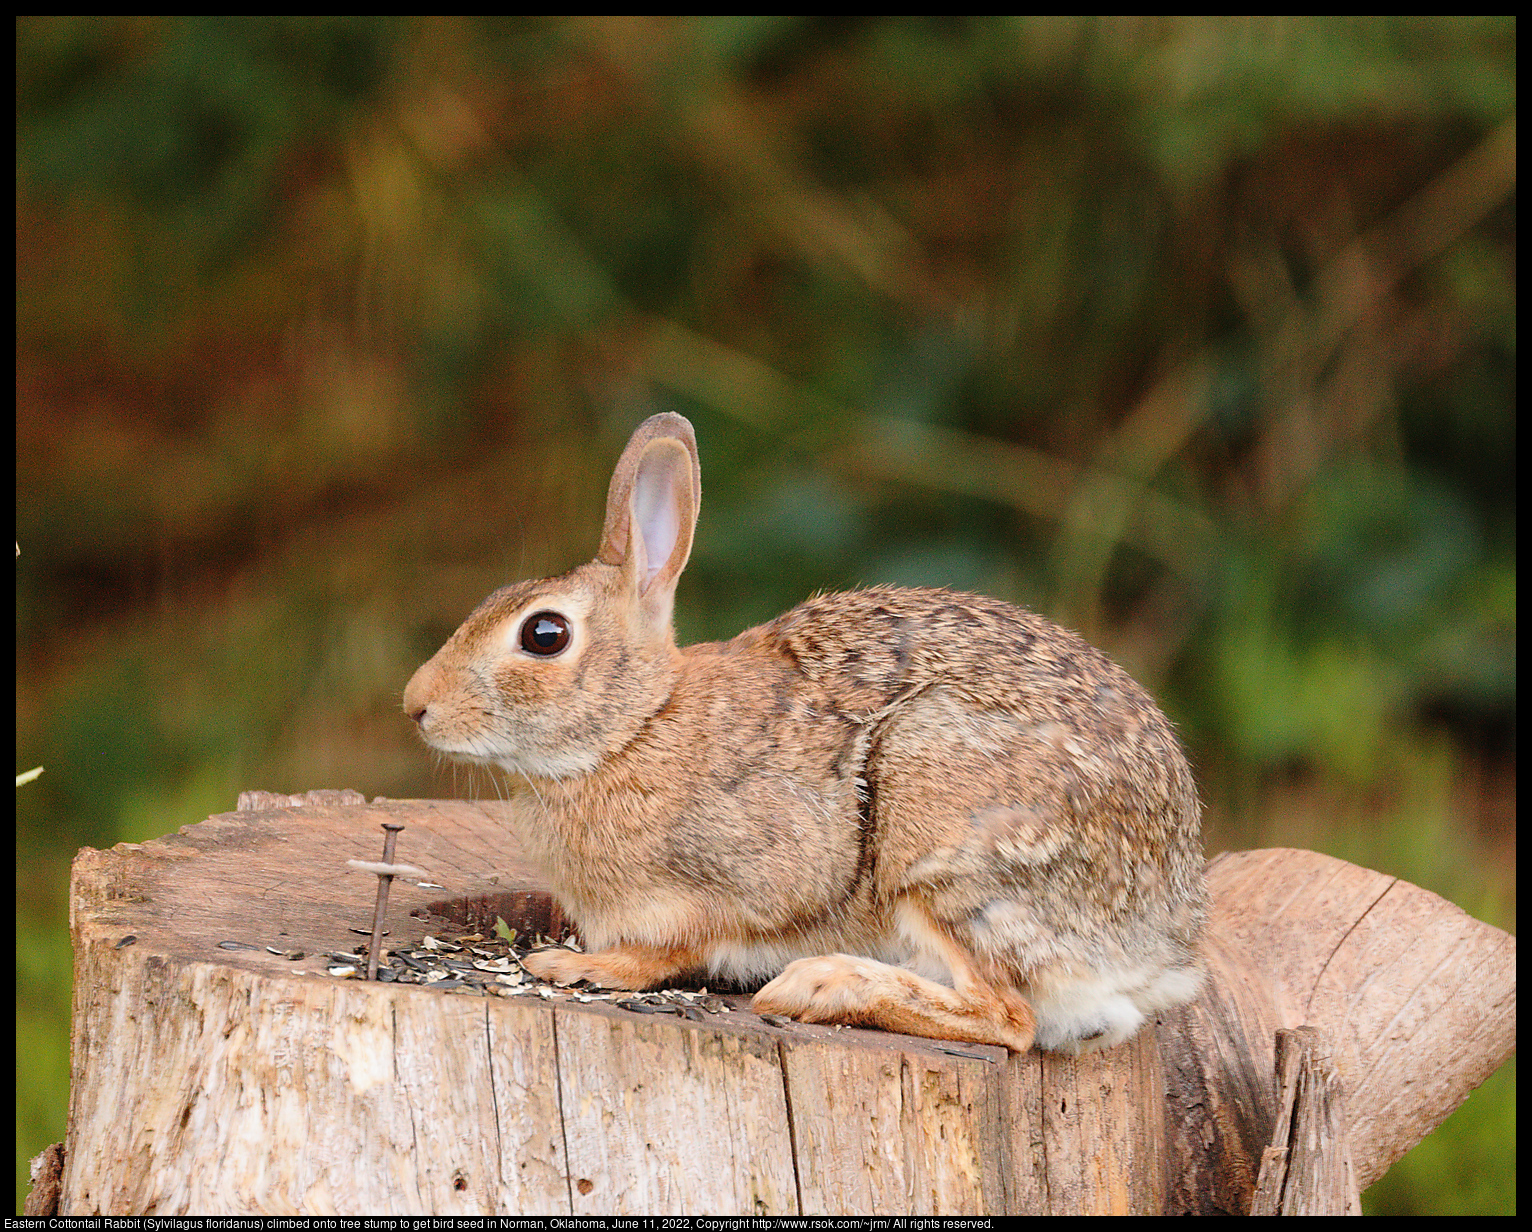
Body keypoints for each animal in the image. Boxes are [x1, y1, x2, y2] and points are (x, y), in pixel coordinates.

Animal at [404, 410, 1207, 1048]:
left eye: (544, 634)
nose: (417, 705)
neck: (635, 727)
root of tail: (1168, 946)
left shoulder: (731, 886)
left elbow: (665, 951)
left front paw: (568, 964)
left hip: (943, 837)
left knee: (1008, 1017)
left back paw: (822, 986)